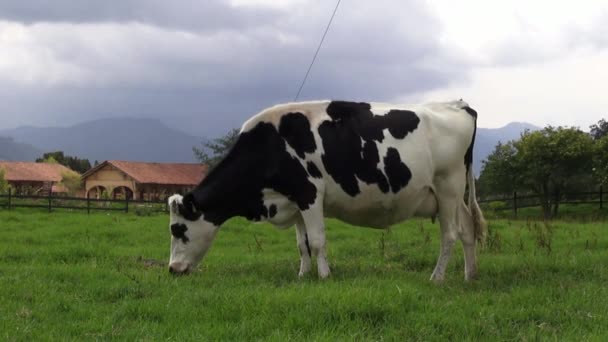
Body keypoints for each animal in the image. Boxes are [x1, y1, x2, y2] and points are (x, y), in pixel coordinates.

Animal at [169, 100, 486, 282]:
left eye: (179, 230)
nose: (171, 269)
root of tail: (459, 105)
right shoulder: (294, 201)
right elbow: (302, 244)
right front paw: (302, 274)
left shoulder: (310, 192)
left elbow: (318, 241)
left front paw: (323, 276)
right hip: (454, 196)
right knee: (468, 230)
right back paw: (470, 276)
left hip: (447, 188)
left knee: (450, 235)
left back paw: (437, 277)